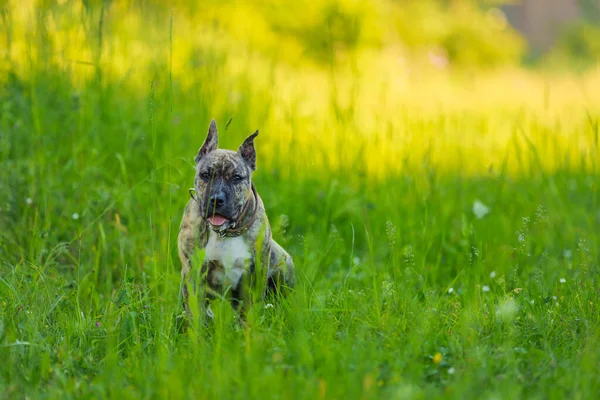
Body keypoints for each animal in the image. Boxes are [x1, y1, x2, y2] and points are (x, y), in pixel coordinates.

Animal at [176, 118, 296, 318]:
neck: (224, 233)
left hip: (282, 260)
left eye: (237, 178)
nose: (217, 199)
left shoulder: (255, 275)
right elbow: (196, 314)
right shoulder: (193, 274)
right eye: (205, 175)